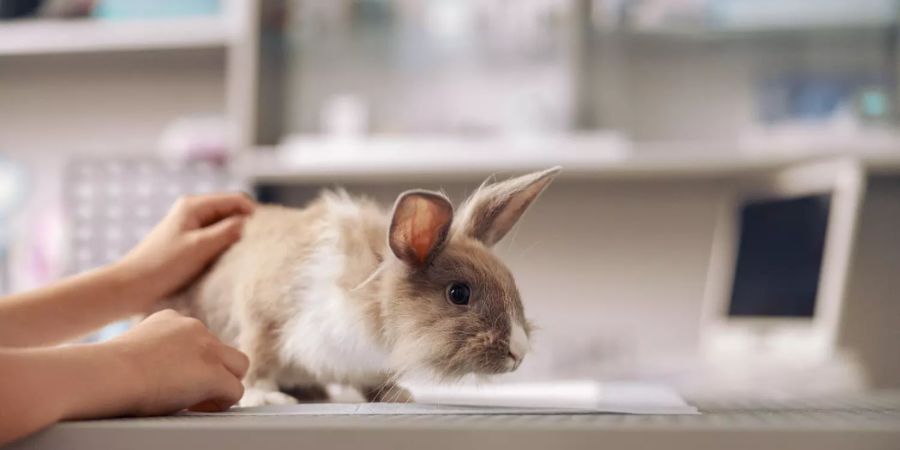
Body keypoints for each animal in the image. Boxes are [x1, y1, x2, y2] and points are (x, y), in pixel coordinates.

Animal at [172, 167, 561, 407]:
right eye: (458, 293)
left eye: (511, 282)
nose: (519, 352)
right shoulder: (262, 319)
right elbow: (256, 361)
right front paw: (264, 397)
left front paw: (397, 395)